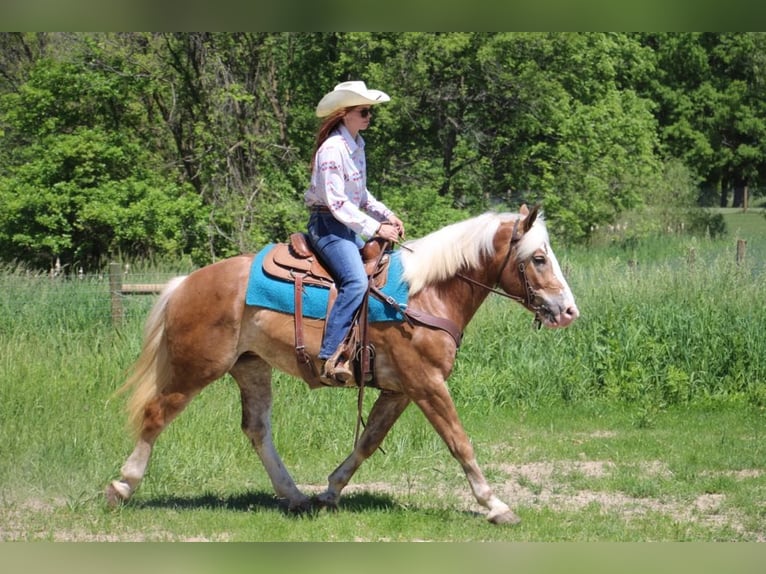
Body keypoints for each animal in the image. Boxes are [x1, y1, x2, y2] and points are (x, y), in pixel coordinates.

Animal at [105, 206, 580, 528]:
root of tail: (185, 283)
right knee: (156, 415)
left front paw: (330, 492)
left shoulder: (400, 389)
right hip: (195, 369)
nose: (568, 311)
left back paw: (295, 496)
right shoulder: (426, 384)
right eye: (539, 258)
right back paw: (122, 486)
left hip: (251, 368)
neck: (424, 294)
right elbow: (459, 442)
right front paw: (496, 505)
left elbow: (368, 441)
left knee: (257, 429)